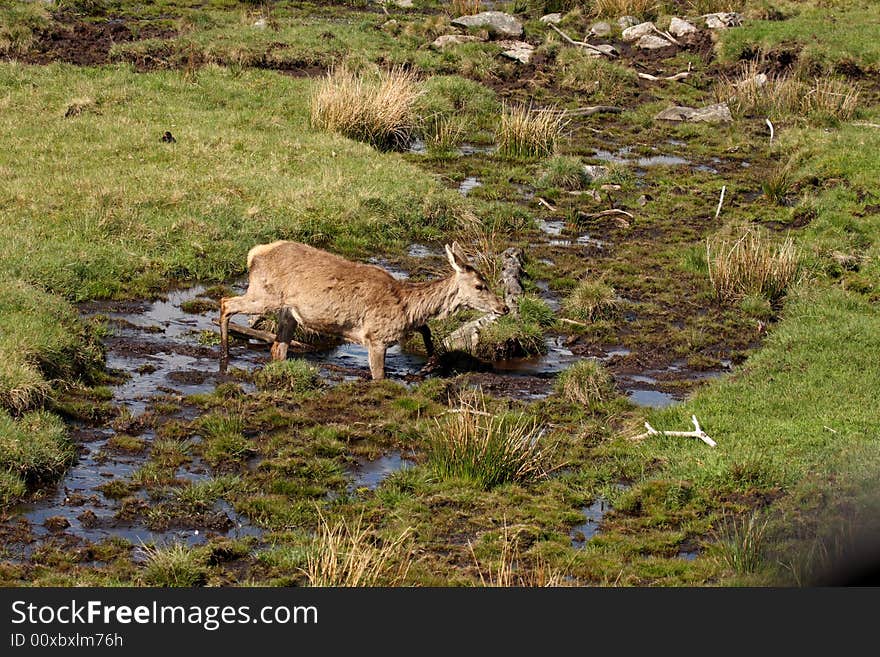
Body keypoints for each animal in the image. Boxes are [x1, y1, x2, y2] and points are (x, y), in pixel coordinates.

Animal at [220, 240, 508, 380]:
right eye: (480, 285)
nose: (504, 307)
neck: (406, 306)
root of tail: (254, 254)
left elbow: (425, 328)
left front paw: (430, 363)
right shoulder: (376, 337)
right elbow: (379, 377)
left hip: (288, 312)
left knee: (277, 348)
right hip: (264, 294)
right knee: (225, 303)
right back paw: (224, 354)